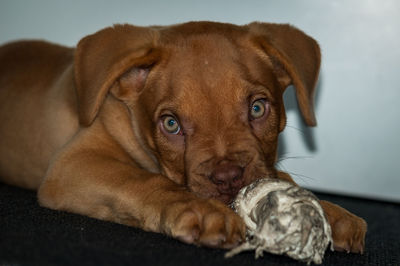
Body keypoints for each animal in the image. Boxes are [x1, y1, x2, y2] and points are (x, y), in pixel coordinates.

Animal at [0, 21, 366, 251]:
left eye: (258, 108)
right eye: (171, 124)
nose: (228, 178)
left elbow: (280, 177)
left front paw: (330, 212)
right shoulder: (73, 164)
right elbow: (140, 180)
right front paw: (197, 208)